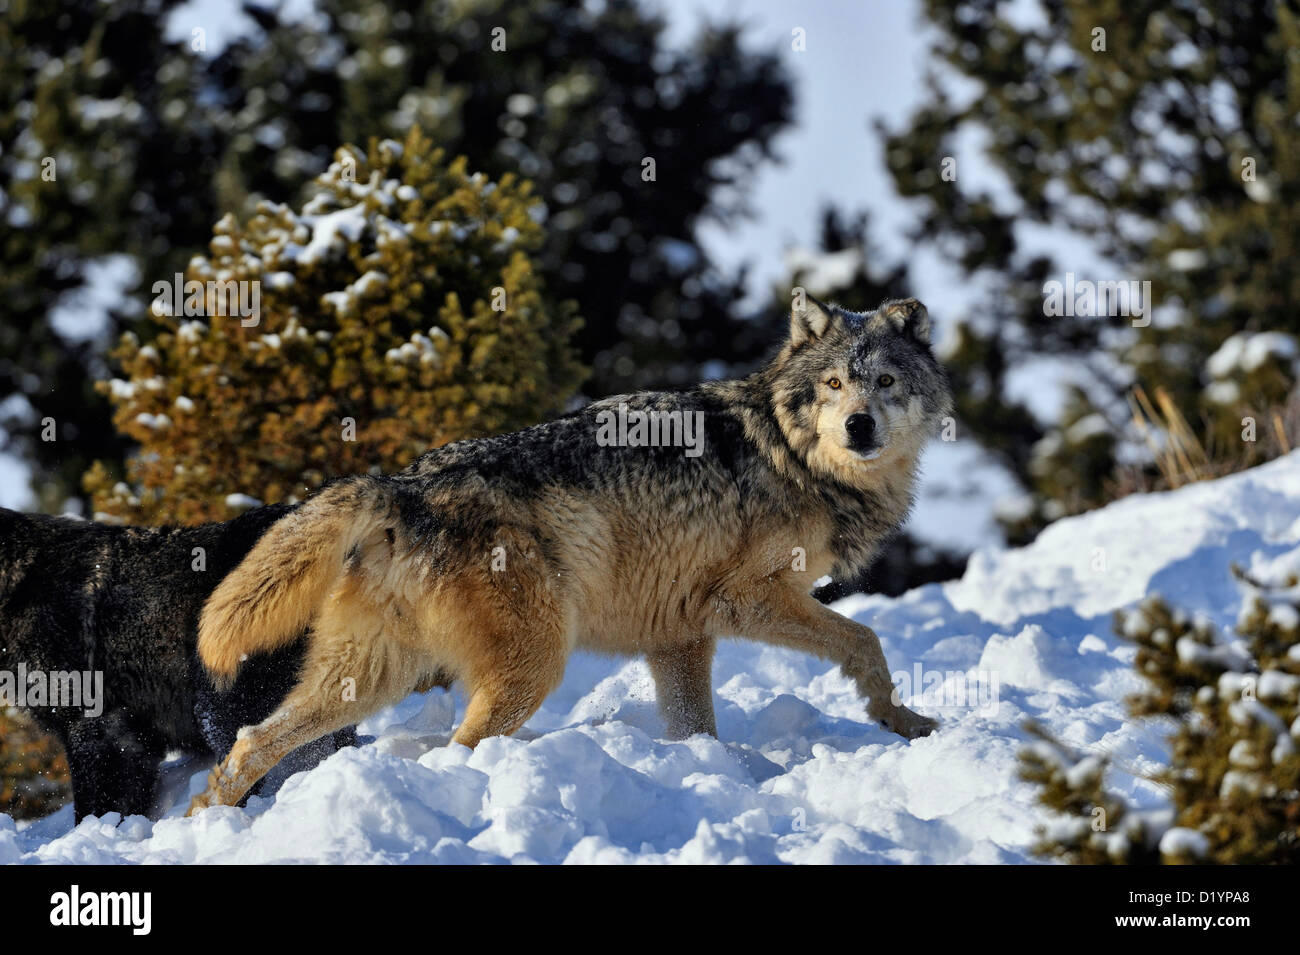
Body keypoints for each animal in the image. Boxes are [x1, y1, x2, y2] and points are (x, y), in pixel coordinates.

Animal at [185, 298, 956, 815]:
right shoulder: (744, 599)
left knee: (251, 740)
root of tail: (401, 485)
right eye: (834, 385)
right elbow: (866, 640)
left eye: (886, 382)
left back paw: (207, 820)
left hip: (366, 678)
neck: (792, 456)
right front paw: (903, 721)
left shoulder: (679, 636)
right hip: (533, 665)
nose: (859, 426)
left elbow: (694, 726)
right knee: (457, 749)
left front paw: (710, 773)